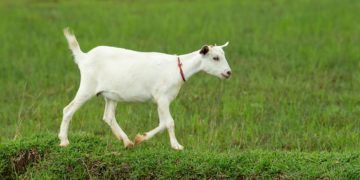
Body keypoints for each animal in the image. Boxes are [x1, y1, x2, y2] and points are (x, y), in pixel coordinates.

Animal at [58, 27, 233, 150]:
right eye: (215, 58)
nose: (228, 72)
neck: (178, 68)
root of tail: (84, 57)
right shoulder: (162, 97)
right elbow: (169, 122)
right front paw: (177, 146)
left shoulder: (161, 100)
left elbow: (163, 123)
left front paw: (139, 138)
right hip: (87, 86)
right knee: (68, 109)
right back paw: (64, 141)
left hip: (111, 95)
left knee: (108, 116)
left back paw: (127, 142)